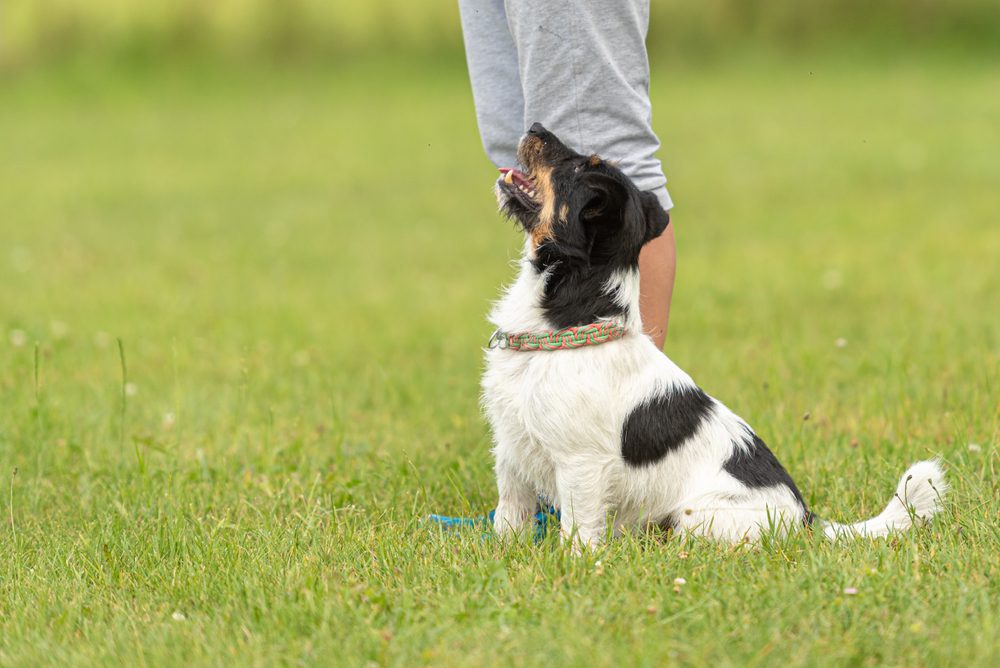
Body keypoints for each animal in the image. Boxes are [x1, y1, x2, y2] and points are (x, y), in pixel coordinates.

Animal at [482, 124, 944, 548]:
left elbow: (579, 532)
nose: (535, 127)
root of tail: (806, 520)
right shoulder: (511, 449)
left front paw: (576, 566)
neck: (566, 323)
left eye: (580, 166)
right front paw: (502, 554)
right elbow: (510, 513)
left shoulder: (581, 464)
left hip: (694, 517)